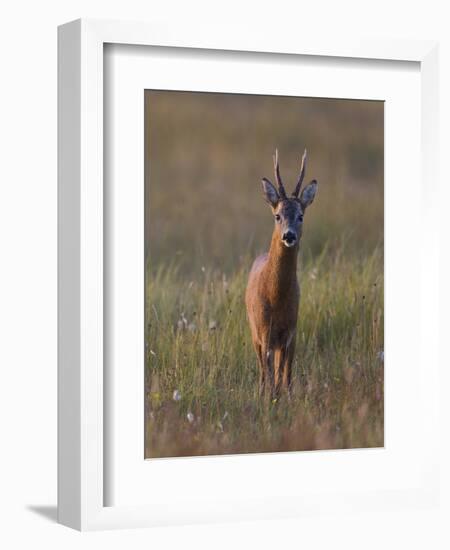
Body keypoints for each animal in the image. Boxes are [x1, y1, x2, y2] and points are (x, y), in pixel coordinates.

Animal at [246, 149, 316, 398]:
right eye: (277, 215)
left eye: (301, 215)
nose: (289, 235)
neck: (276, 297)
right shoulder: (264, 330)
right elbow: (269, 374)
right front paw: (269, 399)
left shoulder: (290, 332)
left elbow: (285, 375)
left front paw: (286, 397)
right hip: (254, 332)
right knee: (263, 370)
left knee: (281, 371)